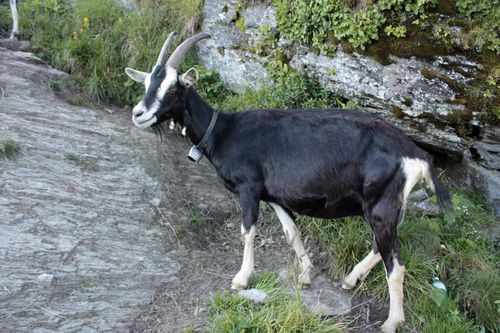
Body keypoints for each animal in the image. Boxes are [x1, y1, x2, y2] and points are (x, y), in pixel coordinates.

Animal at [125, 31, 454, 332]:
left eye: (174, 86)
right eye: (146, 82)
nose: (138, 114)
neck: (222, 132)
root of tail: (415, 153)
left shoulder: (249, 187)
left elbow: (248, 231)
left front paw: (242, 279)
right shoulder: (274, 196)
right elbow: (291, 232)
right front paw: (307, 274)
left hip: (381, 203)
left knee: (395, 263)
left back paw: (392, 321)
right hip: (388, 204)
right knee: (382, 244)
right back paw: (350, 279)